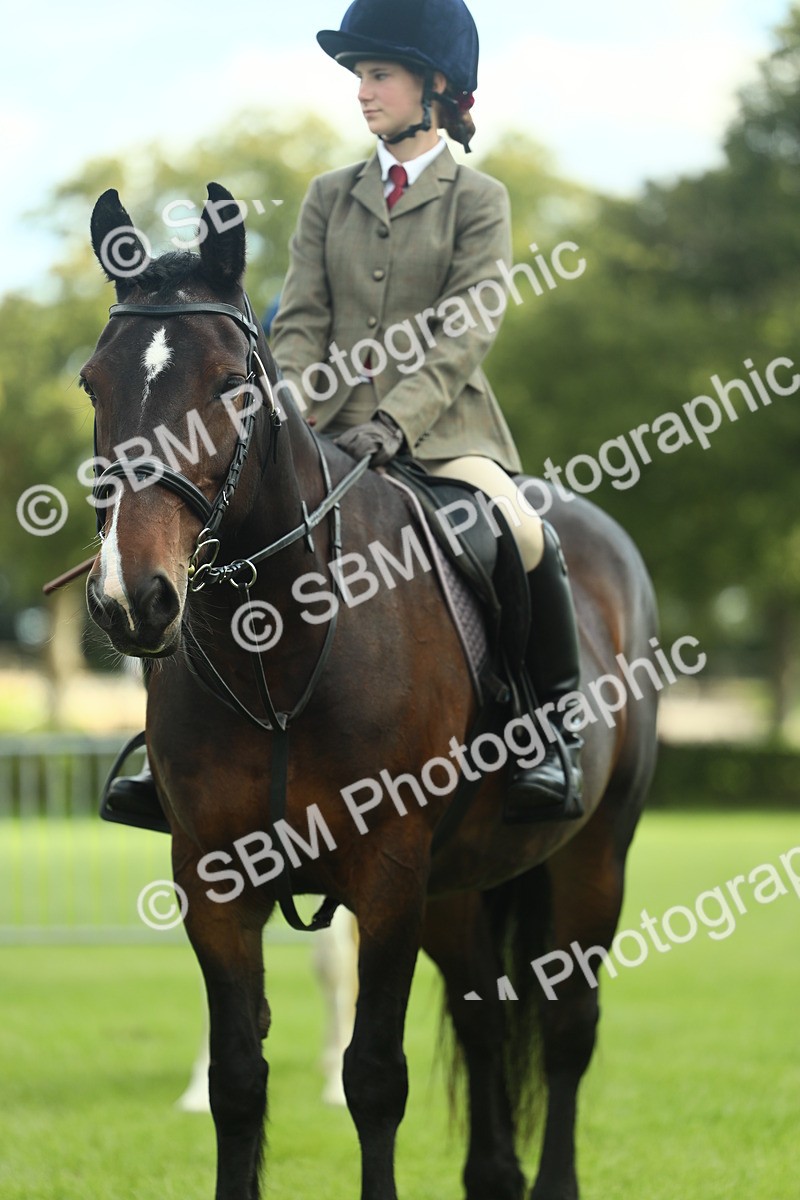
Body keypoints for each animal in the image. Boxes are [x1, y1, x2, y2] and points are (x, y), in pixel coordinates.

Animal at [82, 182, 659, 1200]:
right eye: (92, 386)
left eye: (230, 384)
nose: (130, 598)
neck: (277, 646)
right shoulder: (214, 878)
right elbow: (238, 1079)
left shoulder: (388, 873)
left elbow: (375, 1077)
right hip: (458, 886)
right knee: (481, 1018)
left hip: (593, 857)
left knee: (565, 1028)